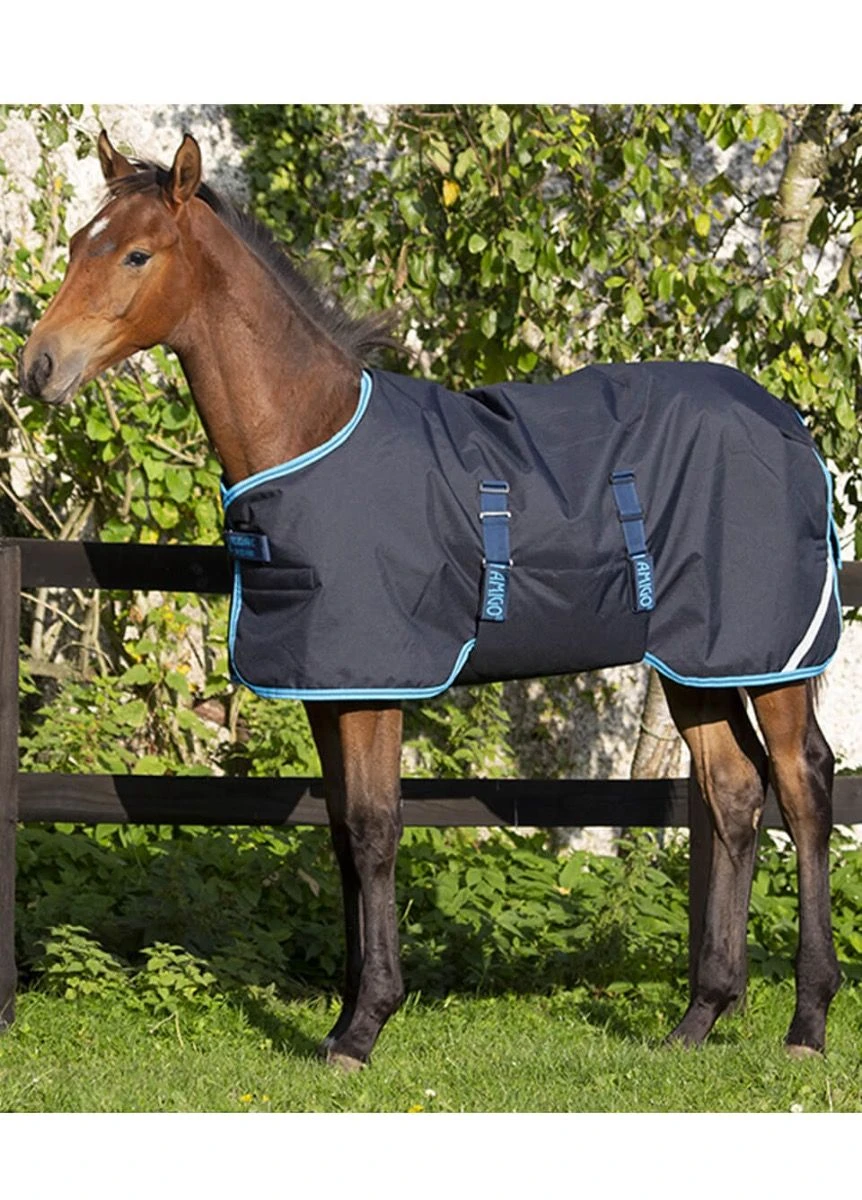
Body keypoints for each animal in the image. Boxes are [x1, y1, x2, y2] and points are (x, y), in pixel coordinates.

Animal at [18, 130, 842, 1071]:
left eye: (137, 254)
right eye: (76, 243)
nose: (39, 367)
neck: (311, 432)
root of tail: (789, 422)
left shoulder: (378, 686)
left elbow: (376, 830)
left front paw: (366, 1026)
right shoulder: (328, 689)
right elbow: (342, 835)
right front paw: (343, 1017)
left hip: (771, 656)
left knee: (804, 787)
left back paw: (808, 1021)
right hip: (696, 662)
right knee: (735, 794)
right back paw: (698, 1018)